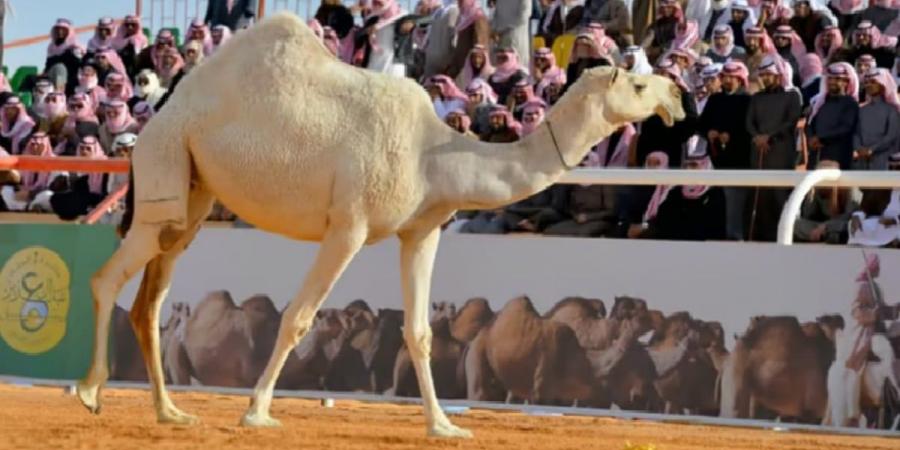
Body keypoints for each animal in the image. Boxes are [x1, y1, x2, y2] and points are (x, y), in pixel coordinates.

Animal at [75, 12, 684, 438]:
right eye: (636, 86)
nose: (677, 95)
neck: (432, 154)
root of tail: (158, 118)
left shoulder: (422, 231)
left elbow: (420, 331)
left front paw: (444, 426)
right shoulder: (349, 225)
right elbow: (298, 318)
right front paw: (257, 413)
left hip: (194, 195)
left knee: (151, 298)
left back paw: (170, 412)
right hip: (166, 168)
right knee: (108, 277)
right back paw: (90, 393)